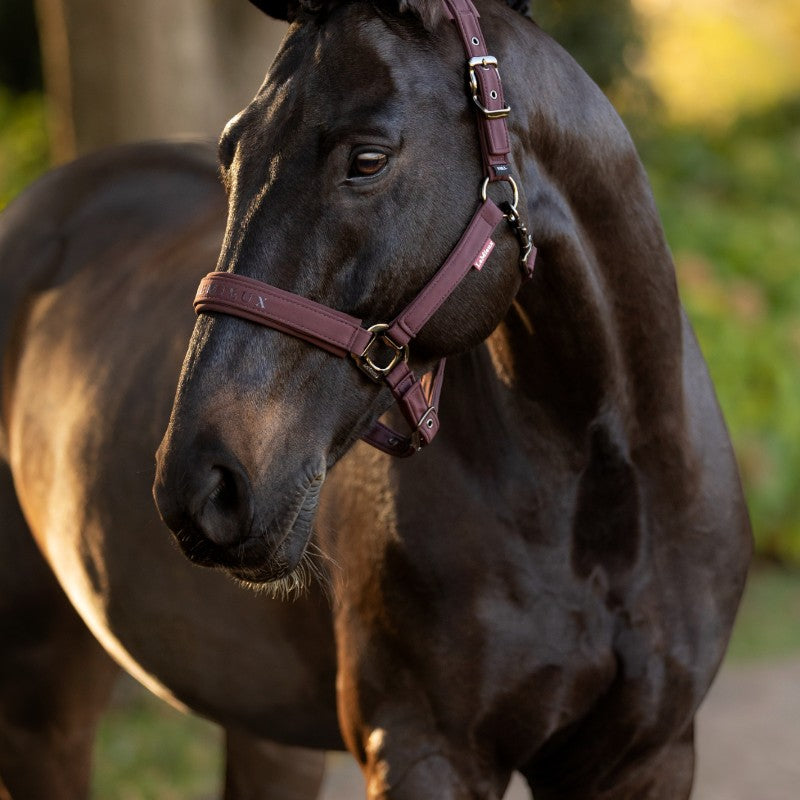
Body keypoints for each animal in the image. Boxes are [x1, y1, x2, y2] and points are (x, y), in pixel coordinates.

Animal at [0, 1, 751, 799]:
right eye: (233, 157)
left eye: (367, 160)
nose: (201, 484)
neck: (600, 483)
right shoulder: (424, 751)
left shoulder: (649, 756)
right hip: (41, 704)